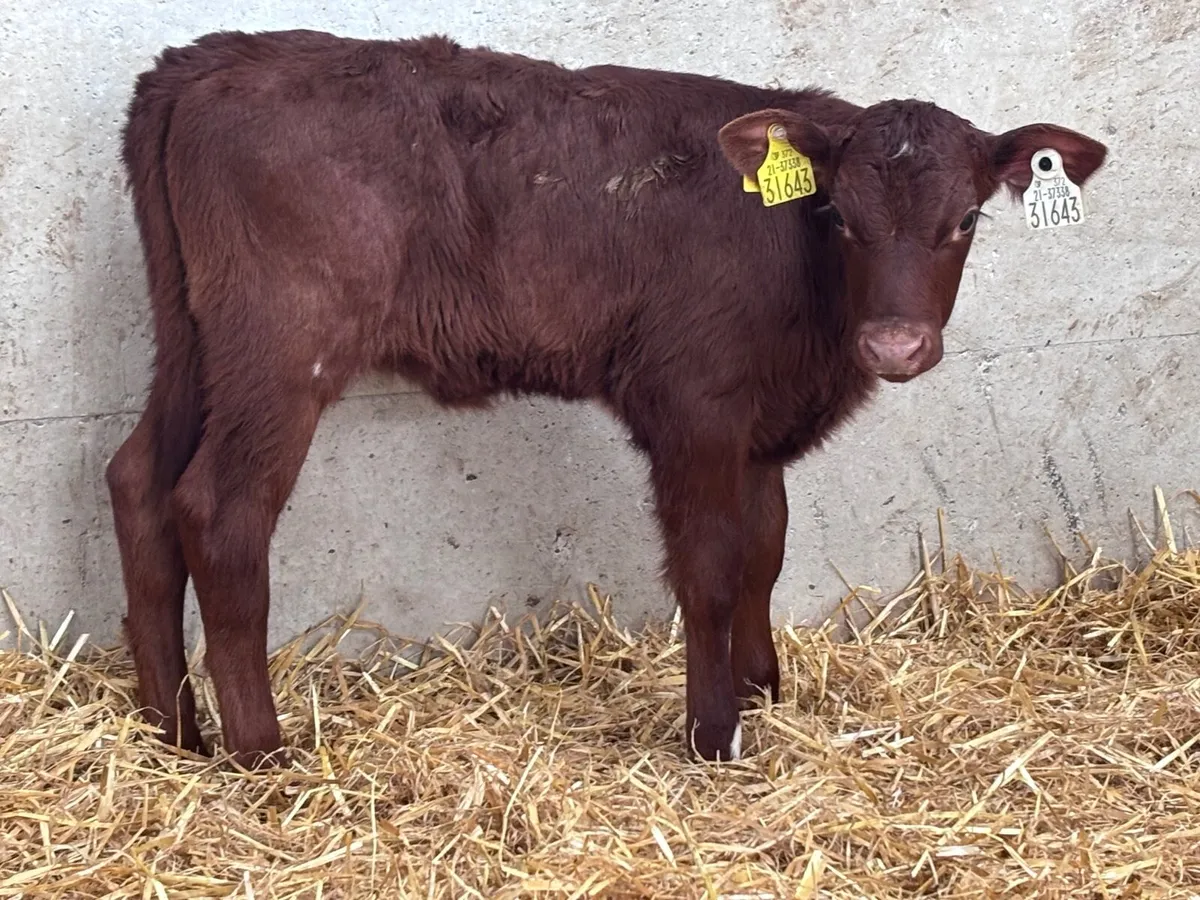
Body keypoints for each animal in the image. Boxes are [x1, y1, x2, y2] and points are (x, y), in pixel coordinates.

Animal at [105, 28, 1107, 768]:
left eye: (966, 218)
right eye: (838, 216)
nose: (894, 344)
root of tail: (208, 58)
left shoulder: (756, 424)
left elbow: (767, 550)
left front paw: (762, 689)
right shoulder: (695, 405)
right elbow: (711, 566)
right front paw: (713, 734)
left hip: (193, 341)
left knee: (138, 480)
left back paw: (175, 732)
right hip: (283, 347)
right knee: (220, 510)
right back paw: (261, 753)